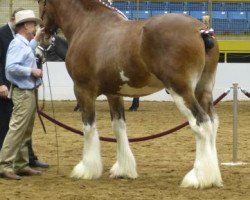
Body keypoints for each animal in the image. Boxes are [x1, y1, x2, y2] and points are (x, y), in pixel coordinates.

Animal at [37, 0, 223, 189]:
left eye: (41, 3)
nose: (42, 34)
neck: (88, 24)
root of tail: (201, 30)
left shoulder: (83, 90)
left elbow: (88, 128)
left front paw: (86, 169)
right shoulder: (114, 93)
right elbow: (119, 127)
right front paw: (123, 170)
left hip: (180, 90)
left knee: (201, 123)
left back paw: (198, 177)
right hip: (203, 89)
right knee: (213, 122)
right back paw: (213, 176)